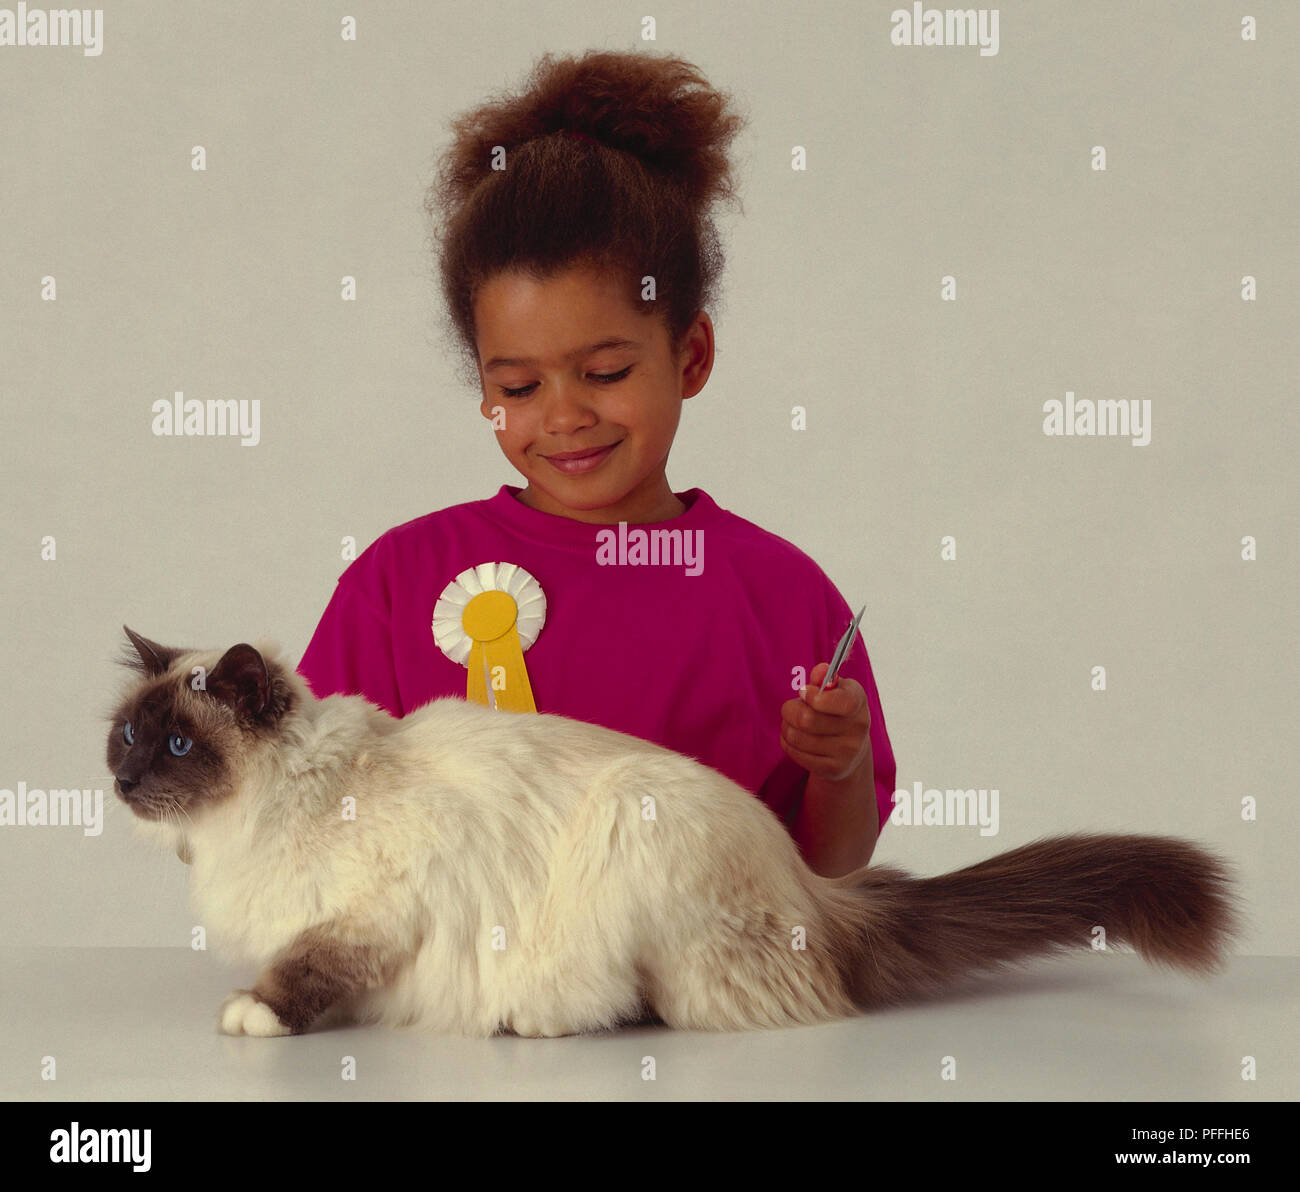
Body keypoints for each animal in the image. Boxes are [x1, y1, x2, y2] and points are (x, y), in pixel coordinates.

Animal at [104, 629, 1237, 1034]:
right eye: (126, 735)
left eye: (176, 745)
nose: (118, 777)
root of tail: (813, 886)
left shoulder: (374, 911)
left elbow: (306, 966)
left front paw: (256, 1014)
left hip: (634, 830)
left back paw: (534, 1020)